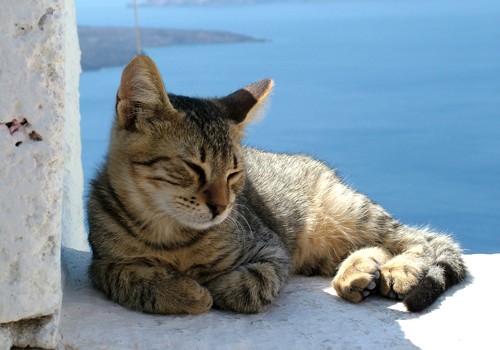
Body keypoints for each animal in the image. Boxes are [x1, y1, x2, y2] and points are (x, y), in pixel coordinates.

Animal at [88, 55, 466, 314]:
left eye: (234, 173)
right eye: (193, 167)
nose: (221, 207)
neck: (169, 235)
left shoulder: (272, 250)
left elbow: (249, 284)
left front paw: (207, 285)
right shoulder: (102, 264)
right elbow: (128, 279)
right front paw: (182, 291)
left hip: (350, 212)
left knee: (415, 238)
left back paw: (398, 268)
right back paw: (359, 271)